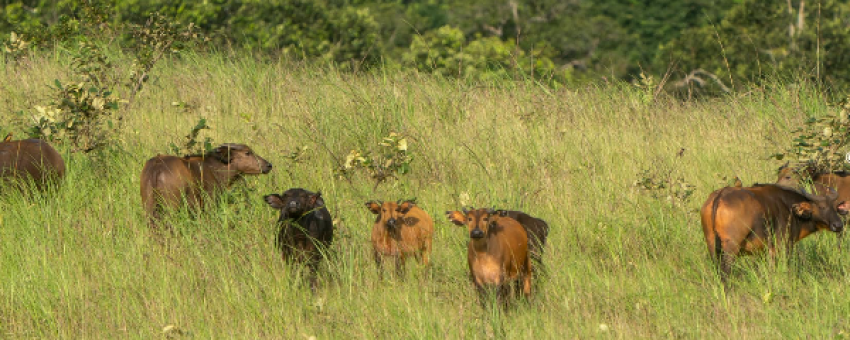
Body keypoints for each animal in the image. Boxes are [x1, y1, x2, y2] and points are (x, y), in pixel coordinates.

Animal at [140, 143, 272, 223]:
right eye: (247, 153)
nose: (268, 165)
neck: (215, 169)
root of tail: (157, 166)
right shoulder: (210, 203)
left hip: (148, 205)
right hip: (171, 205)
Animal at [700, 185, 844, 282]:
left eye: (834, 207)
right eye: (821, 207)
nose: (838, 225)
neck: (790, 209)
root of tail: (720, 195)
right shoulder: (782, 247)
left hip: (712, 246)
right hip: (731, 249)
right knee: (725, 272)